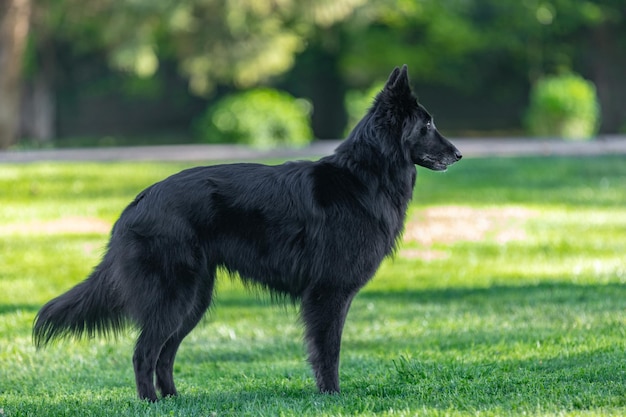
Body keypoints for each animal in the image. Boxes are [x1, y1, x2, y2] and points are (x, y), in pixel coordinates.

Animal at [35, 65, 464, 400]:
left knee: (164, 353)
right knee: (144, 352)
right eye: (427, 125)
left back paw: (173, 399)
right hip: (174, 297)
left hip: (193, 301)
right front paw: (332, 395)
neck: (364, 177)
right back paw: (151, 403)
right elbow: (328, 351)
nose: (459, 154)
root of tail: (138, 202)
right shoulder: (328, 294)